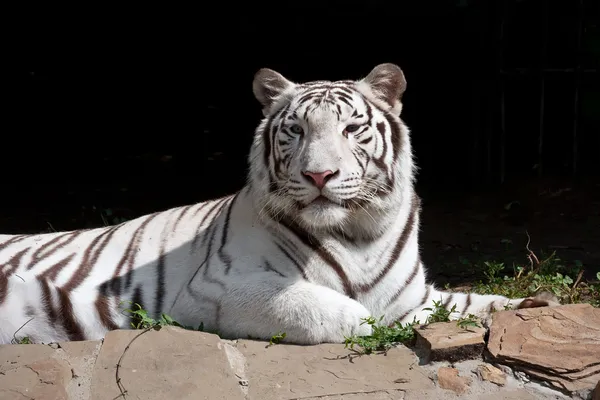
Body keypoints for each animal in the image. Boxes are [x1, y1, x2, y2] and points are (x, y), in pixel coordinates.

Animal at [0, 64, 556, 346]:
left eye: (351, 129)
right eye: (297, 130)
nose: (319, 174)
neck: (360, 232)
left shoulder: (415, 292)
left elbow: (471, 302)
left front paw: (536, 306)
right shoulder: (216, 289)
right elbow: (344, 312)